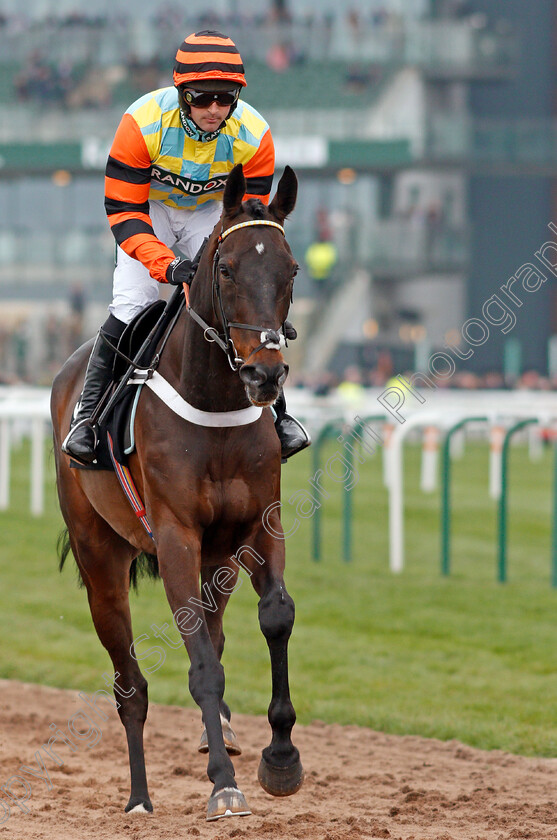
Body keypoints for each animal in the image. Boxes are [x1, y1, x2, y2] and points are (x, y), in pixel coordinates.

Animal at [51, 164, 304, 820]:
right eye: (227, 269)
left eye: (291, 270)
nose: (265, 374)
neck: (214, 403)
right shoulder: (175, 540)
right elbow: (201, 666)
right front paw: (223, 786)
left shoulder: (259, 526)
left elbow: (275, 618)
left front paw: (281, 757)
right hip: (100, 558)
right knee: (130, 686)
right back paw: (140, 797)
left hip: (221, 562)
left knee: (215, 633)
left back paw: (224, 735)